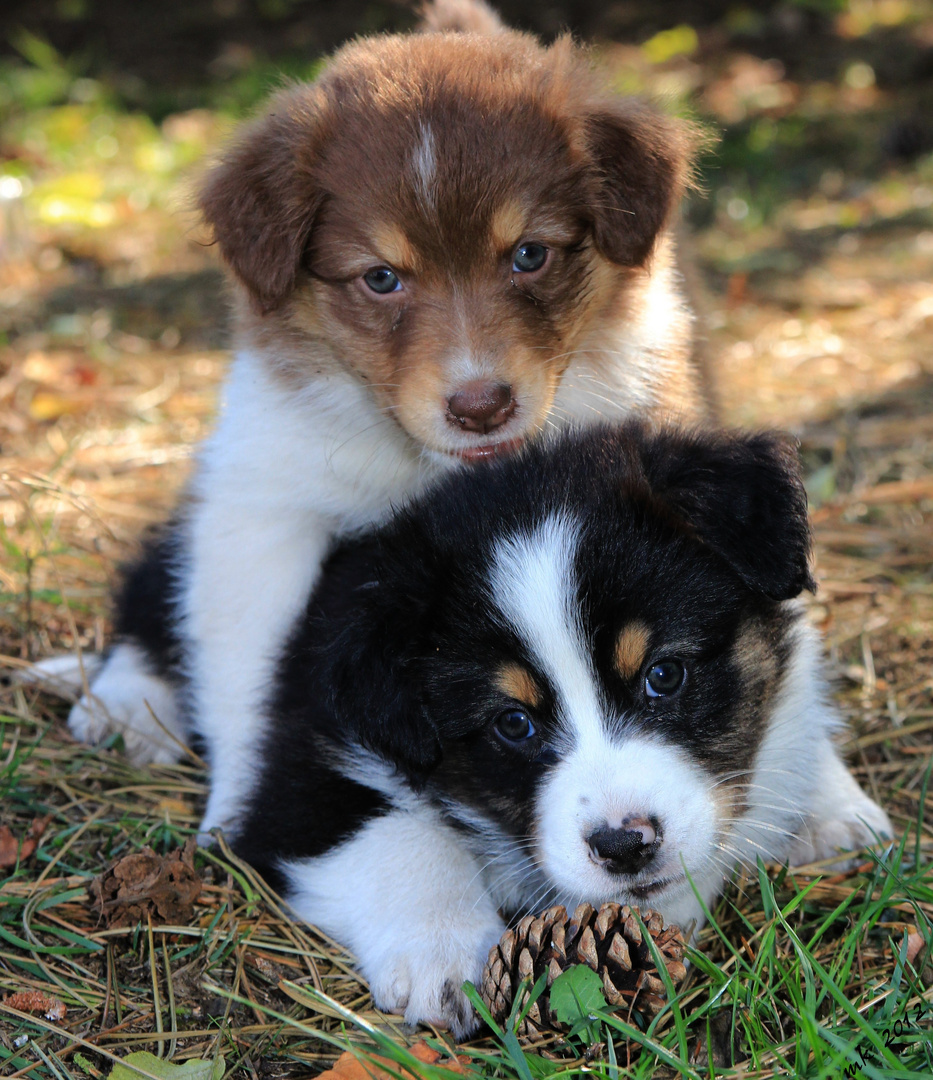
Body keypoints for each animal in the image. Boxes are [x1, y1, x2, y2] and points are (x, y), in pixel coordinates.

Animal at [62, 0, 712, 833]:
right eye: (380, 278)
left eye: (529, 255)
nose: (480, 405)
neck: (420, 463)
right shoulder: (264, 513)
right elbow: (247, 675)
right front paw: (242, 808)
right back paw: (122, 705)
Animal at [115, 421, 889, 1036]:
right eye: (512, 723)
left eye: (663, 675)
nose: (624, 846)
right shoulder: (298, 772)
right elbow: (397, 838)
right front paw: (444, 955)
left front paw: (827, 807)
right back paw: (122, 708)